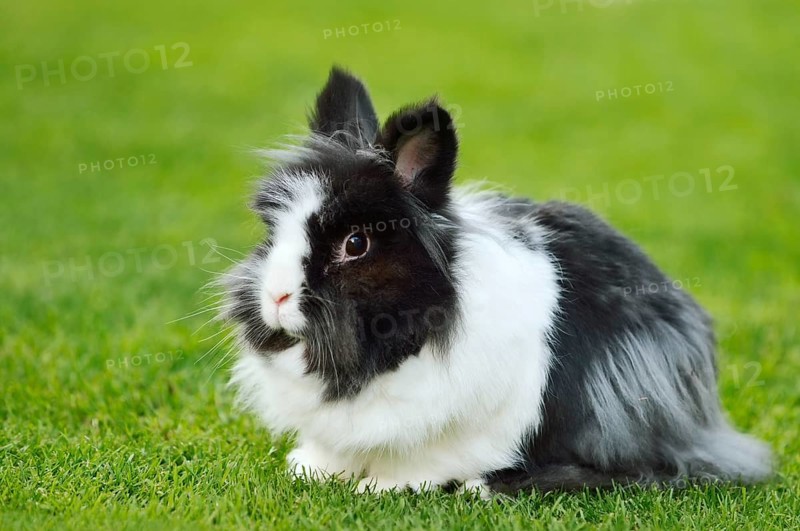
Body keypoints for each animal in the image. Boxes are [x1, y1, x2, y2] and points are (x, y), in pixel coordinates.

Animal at [223, 67, 773, 495]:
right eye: (273, 232)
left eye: (355, 244)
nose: (276, 297)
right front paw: (310, 470)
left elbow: (425, 460)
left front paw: (381, 486)